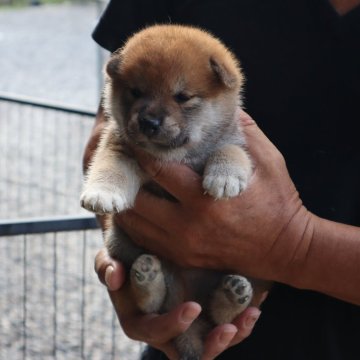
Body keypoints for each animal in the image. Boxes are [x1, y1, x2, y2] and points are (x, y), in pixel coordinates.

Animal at [82, 25, 258, 360]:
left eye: (183, 97)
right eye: (136, 92)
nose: (148, 122)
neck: (177, 156)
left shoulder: (233, 141)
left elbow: (231, 152)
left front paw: (225, 177)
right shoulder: (119, 146)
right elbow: (109, 167)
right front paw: (101, 193)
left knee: (220, 319)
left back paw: (233, 294)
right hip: (121, 243)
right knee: (152, 305)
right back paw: (148, 278)